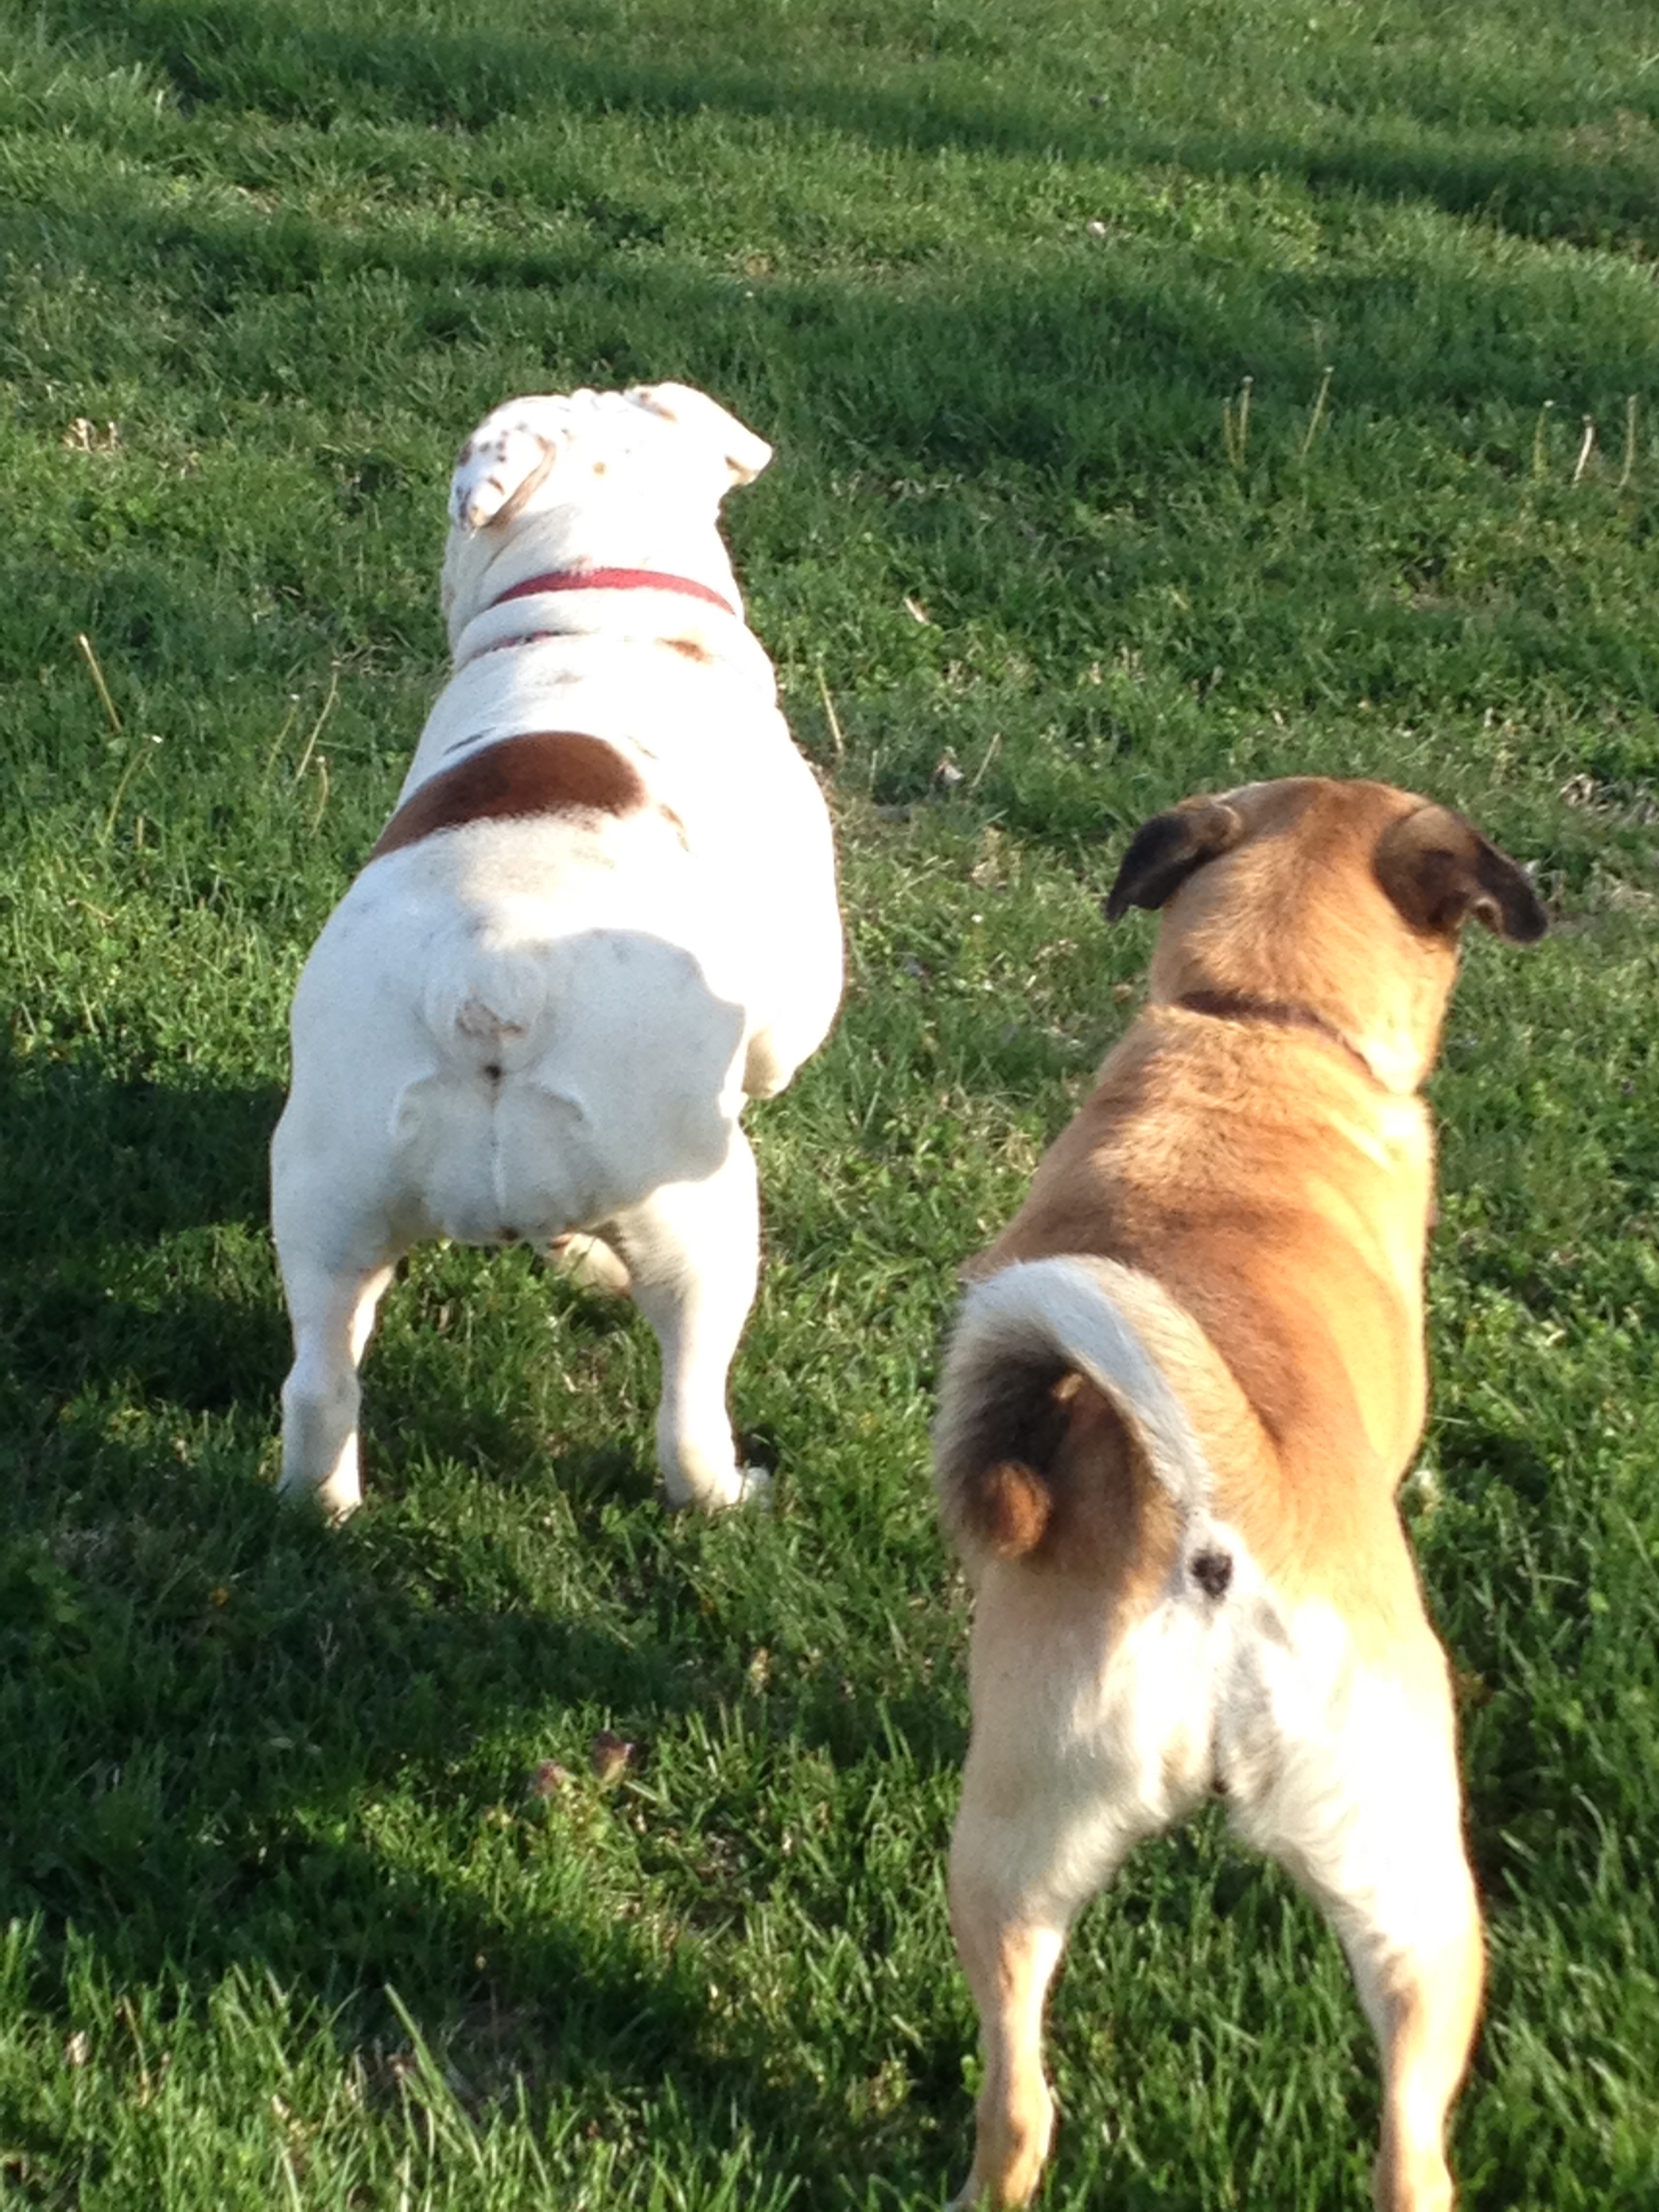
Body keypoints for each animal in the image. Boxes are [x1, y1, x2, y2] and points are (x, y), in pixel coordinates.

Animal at [271, 383, 843, 1517]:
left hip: (328, 1198)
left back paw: (323, 1509)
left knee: (319, 1379)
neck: (600, 590)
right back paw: (726, 1492)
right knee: (687, 1405)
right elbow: (776, 1051)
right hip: (702, 1219)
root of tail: (490, 972)